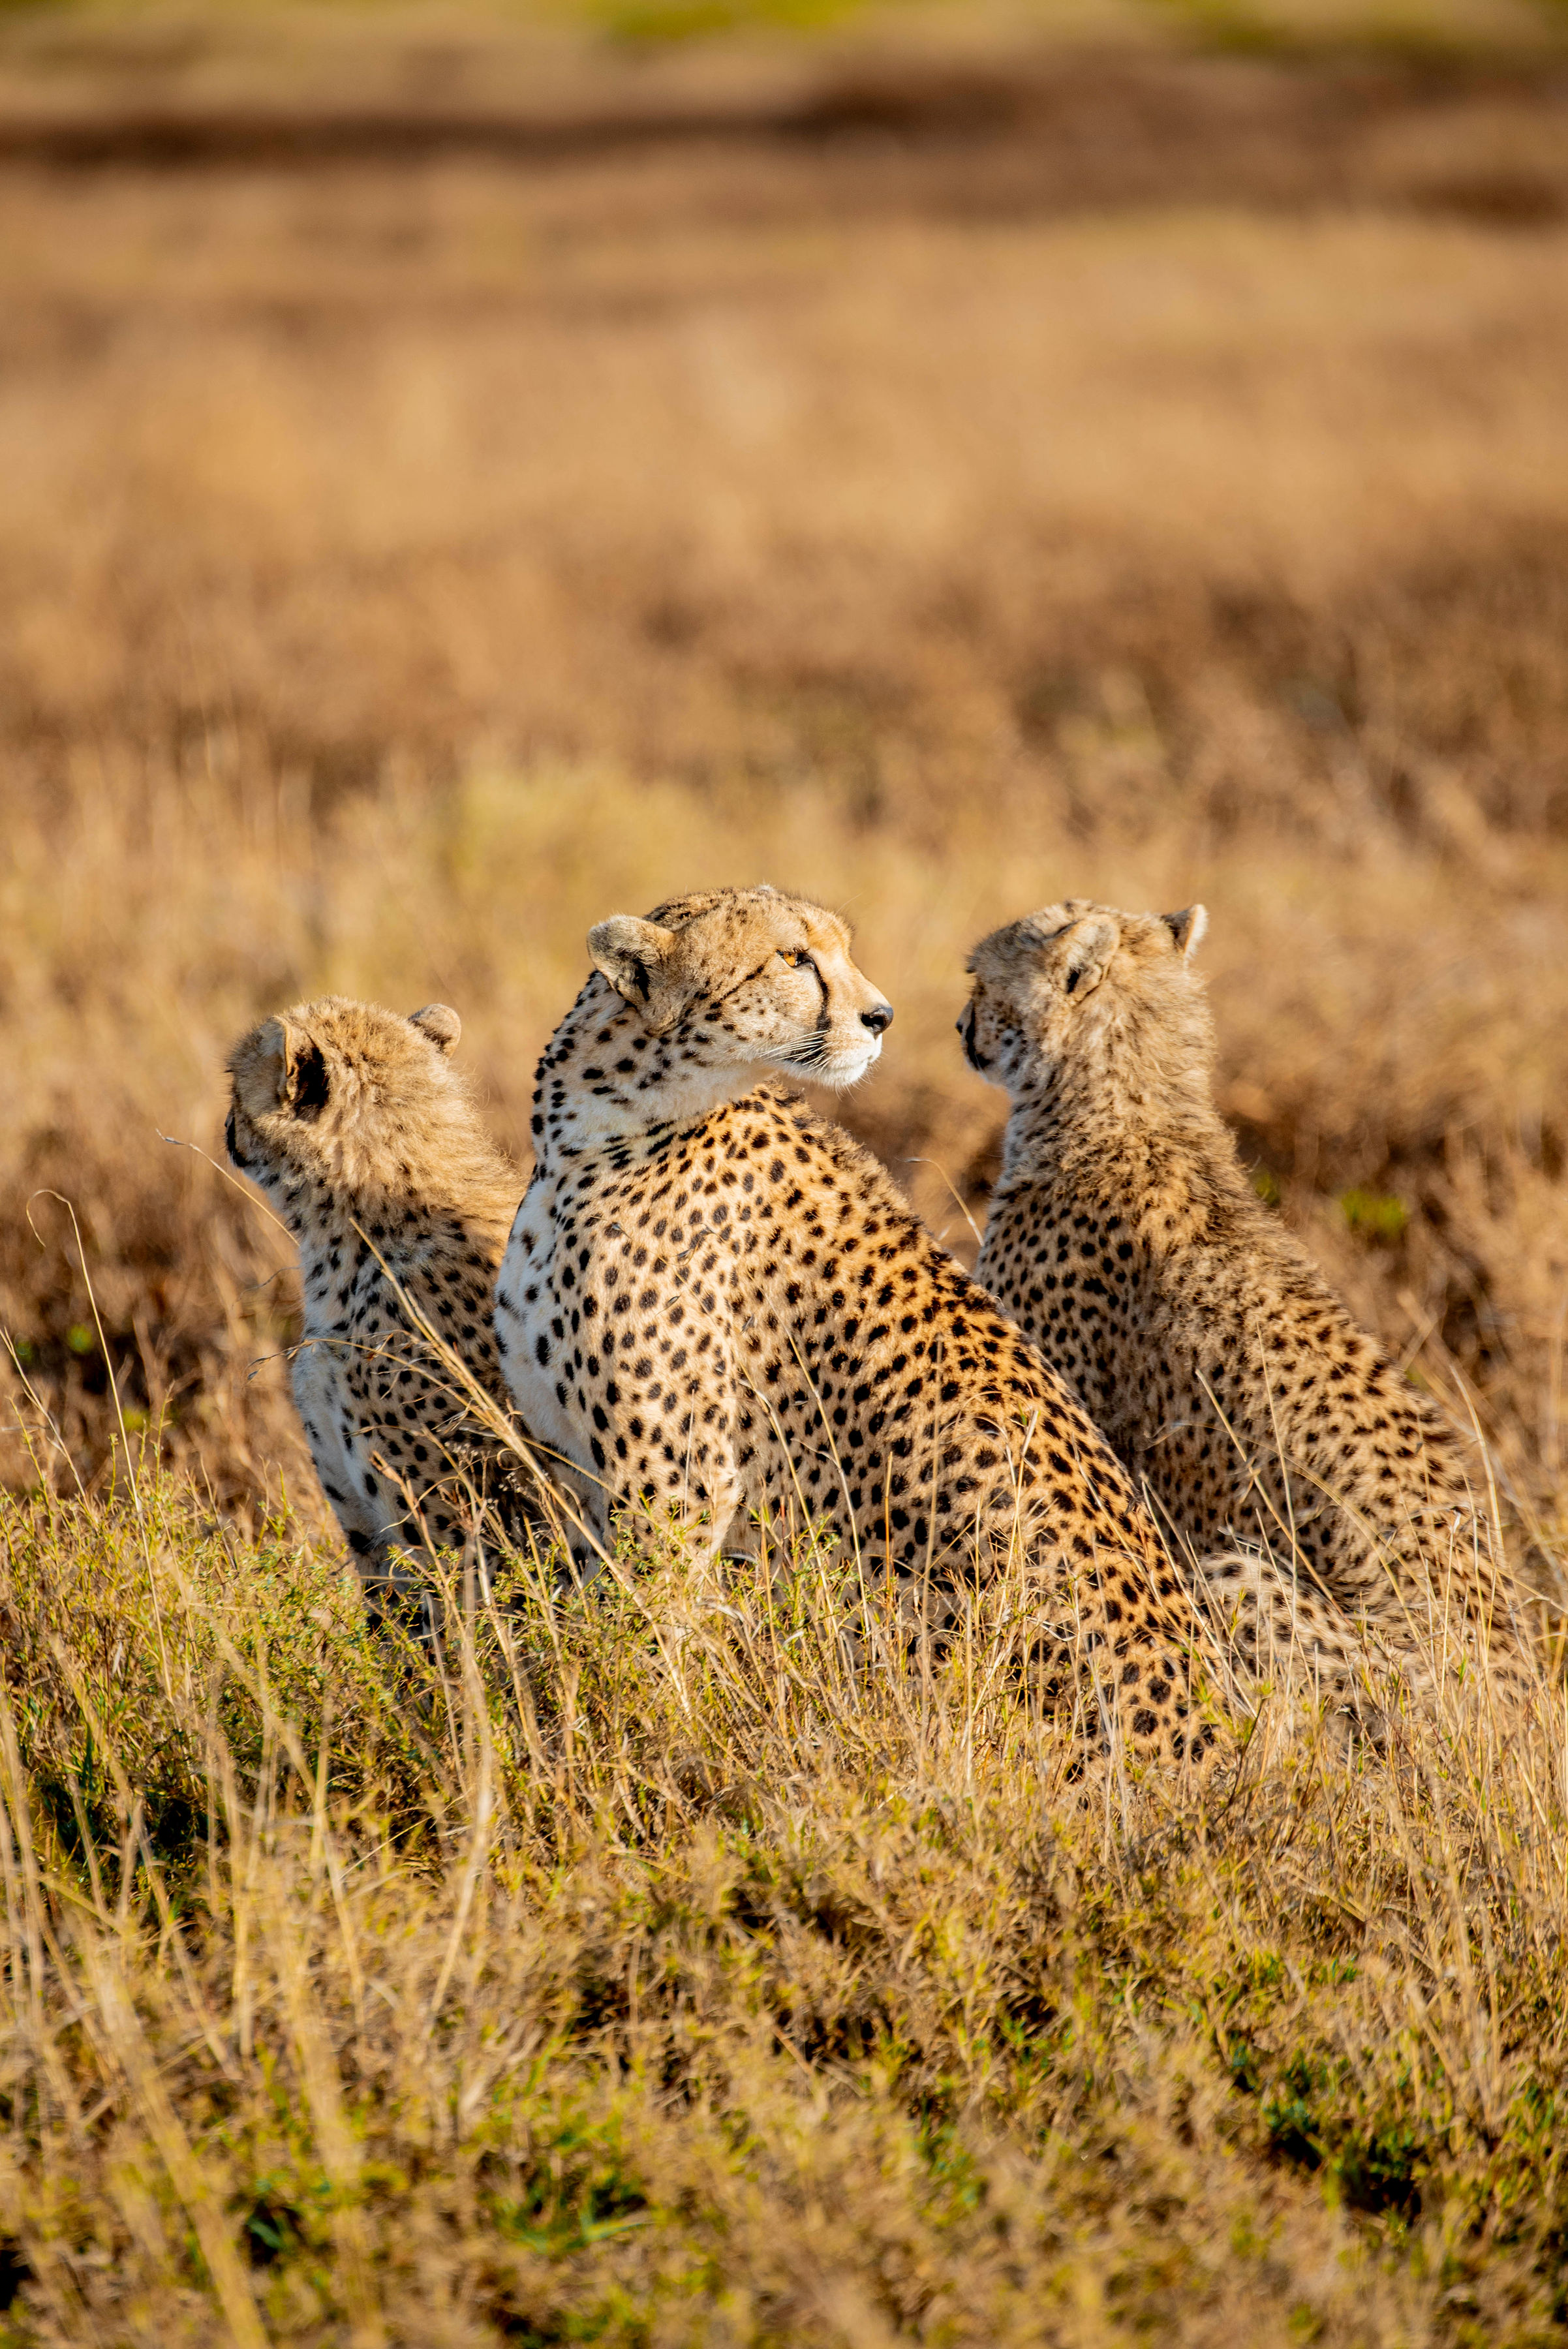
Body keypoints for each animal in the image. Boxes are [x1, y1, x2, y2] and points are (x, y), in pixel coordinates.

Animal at [490, 881, 1285, 1779]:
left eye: (836, 950)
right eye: (793, 957)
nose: (881, 1017)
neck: (591, 1127)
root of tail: (1217, 1747)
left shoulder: (677, 1485)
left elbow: (637, 1646)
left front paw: (629, 1747)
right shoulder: (579, 1468)